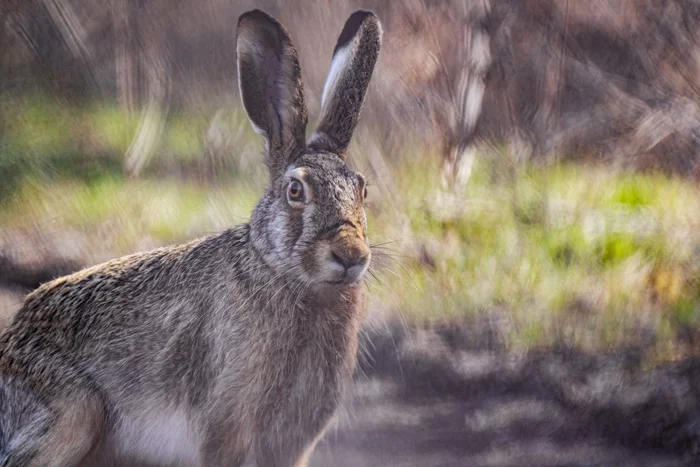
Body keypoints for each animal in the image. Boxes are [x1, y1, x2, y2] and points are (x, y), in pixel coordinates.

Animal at [0, 9, 381, 467]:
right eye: (296, 190)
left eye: (362, 190)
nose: (351, 255)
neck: (283, 273)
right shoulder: (224, 428)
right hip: (72, 413)